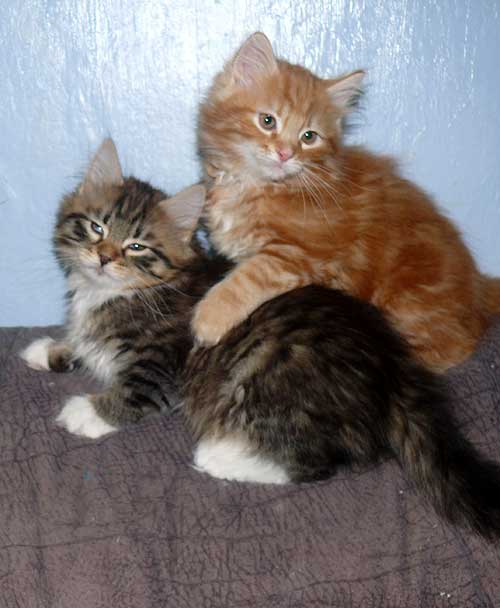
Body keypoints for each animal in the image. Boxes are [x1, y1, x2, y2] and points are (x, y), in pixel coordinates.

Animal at [21, 139, 500, 539]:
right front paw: (48, 349)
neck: (120, 292)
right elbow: (84, 345)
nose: (103, 258)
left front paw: (84, 412)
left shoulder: (159, 369)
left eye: (137, 246)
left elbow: (127, 395)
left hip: (268, 376)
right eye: (97, 228)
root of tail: (393, 363)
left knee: (320, 463)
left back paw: (220, 456)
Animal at [193, 32, 500, 372]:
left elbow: (247, 279)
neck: (255, 185)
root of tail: (479, 286)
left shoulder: (302, 252)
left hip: (408, 304)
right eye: (268, 120)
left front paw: (209, 318)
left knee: (452, 351)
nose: (285, 154)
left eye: (308, 137)